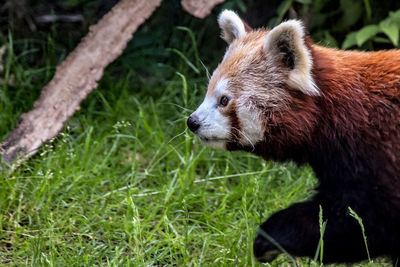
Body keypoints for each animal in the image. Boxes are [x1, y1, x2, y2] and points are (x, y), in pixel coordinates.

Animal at [187, 9, 400, 264]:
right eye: (208, 92)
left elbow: (365, 222)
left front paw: (270, 237)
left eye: (224, 100)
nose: (192, 122)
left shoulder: (376, 153)